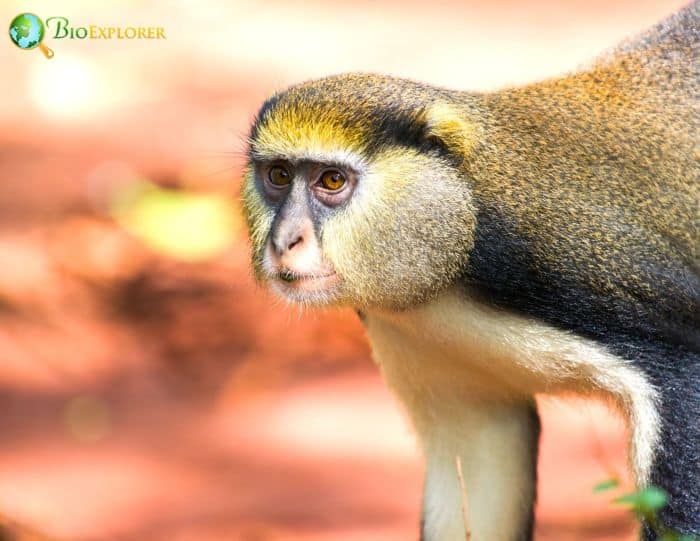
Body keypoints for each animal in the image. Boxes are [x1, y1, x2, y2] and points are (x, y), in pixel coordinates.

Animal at [241, 2, 699, 540]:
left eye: (331, 181)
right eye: (278, 176)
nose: (283, 242)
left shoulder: (565, 274)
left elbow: (680, 386)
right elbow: (479, 458)